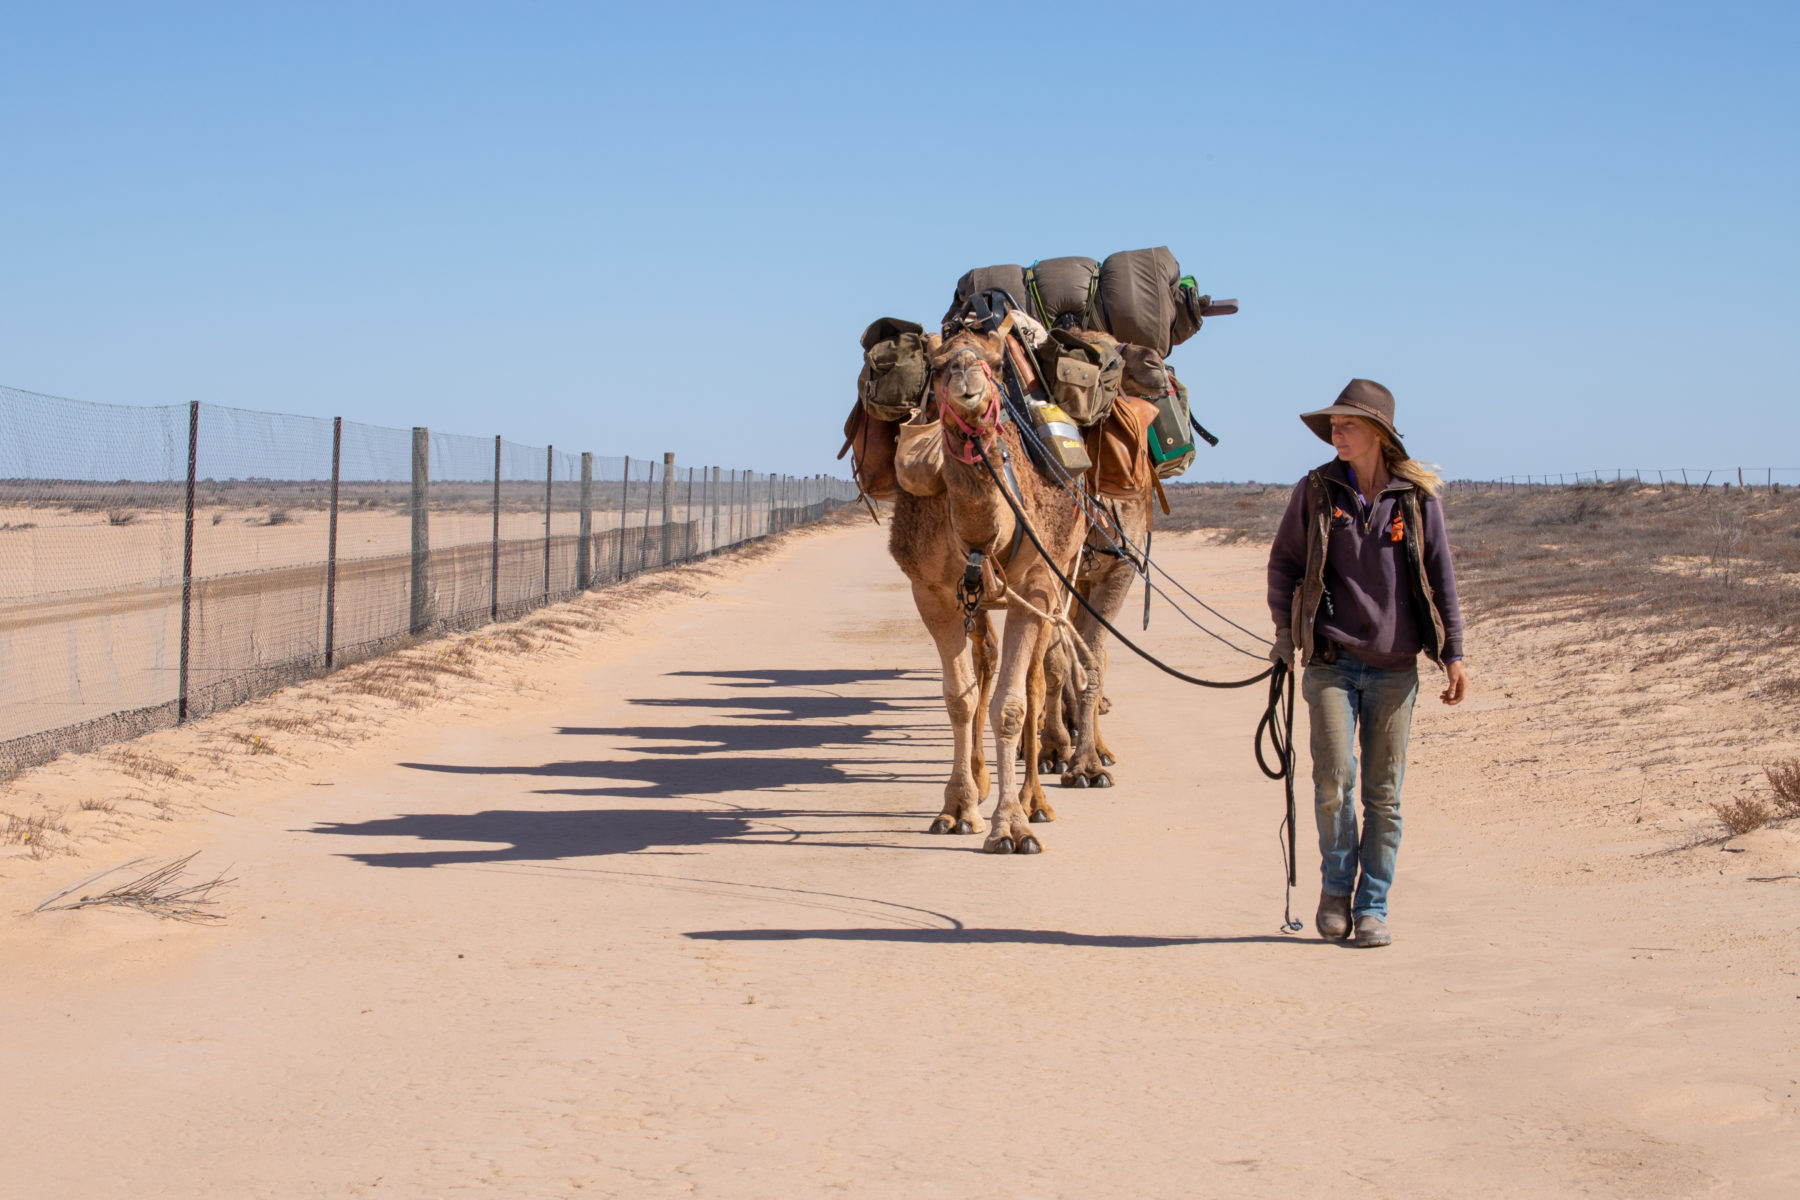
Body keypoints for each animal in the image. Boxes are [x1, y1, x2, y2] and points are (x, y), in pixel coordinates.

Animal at [889, 318, 1087, 852]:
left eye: (997, 363)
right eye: (937, 367)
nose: (966, 378)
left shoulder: (1036, 585)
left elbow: (1012, 705)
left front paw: (1012, 826)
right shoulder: (932, 591)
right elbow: (961, 698)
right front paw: (958, 808)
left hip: (1063, 575)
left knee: (1040, 677)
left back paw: (1039, 796)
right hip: (979, 600)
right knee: (986, 663)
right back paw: (982, 782)